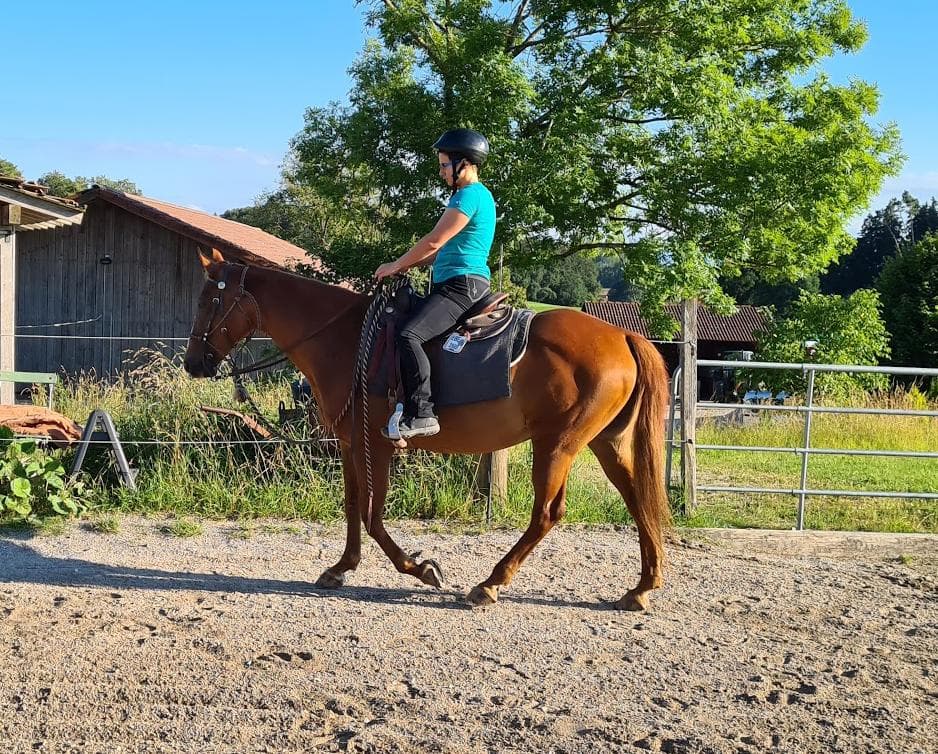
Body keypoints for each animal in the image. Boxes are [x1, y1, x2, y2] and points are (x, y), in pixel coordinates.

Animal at [184, 248, 671, 610]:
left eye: (209, 301)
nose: (193, 364)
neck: (345, 340)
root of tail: (623, 336)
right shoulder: (350, 444)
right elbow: (352, 507)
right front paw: (341, 568)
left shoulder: (378, 446)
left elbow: (372, 515)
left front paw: (420, 569)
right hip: (604, 443)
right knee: (637, 498)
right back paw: (642, 587)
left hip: (557, 444)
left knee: (548, 514)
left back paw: (490, 584)